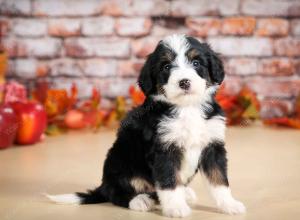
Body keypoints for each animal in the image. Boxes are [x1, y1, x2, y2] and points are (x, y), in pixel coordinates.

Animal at [46, 34, 244, 218]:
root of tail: (103, 185)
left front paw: (229, 204)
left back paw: (183, 194)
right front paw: (176, 208)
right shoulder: (164, 150)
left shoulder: (213, 146)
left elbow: (219, 180)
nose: (184, 82)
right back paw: (139, 201)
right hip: (120, 162)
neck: (187, 108)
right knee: (116, 193)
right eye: (166, 67)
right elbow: (168, 181)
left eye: (196, 62)